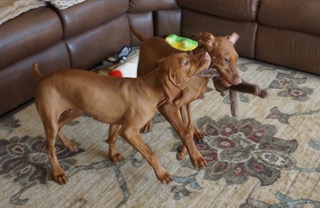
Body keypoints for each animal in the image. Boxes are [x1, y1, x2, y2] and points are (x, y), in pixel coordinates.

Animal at [33, 51, 211, 184]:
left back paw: (69, 145)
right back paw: (58, 172)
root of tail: (42, 77)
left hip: (76, 110)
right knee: (49, 147)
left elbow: (112, 138)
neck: (149, 87)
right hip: (50, 119)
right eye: (186, 63)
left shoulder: (117, 121)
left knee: (60, 126)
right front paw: (162, 174)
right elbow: (150, 153)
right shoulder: (129, 131)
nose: (207, 54)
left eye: (188, 54)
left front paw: (112, 155)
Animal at [130, 26, 268, 165]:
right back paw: (147, 123)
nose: (239, 82)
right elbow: (185, 131)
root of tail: (147, 39)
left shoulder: (185, 104)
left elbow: (188, 127)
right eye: (226, 59)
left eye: (237, 59)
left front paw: (185, 148)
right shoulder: (167, 107)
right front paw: (195, 157)